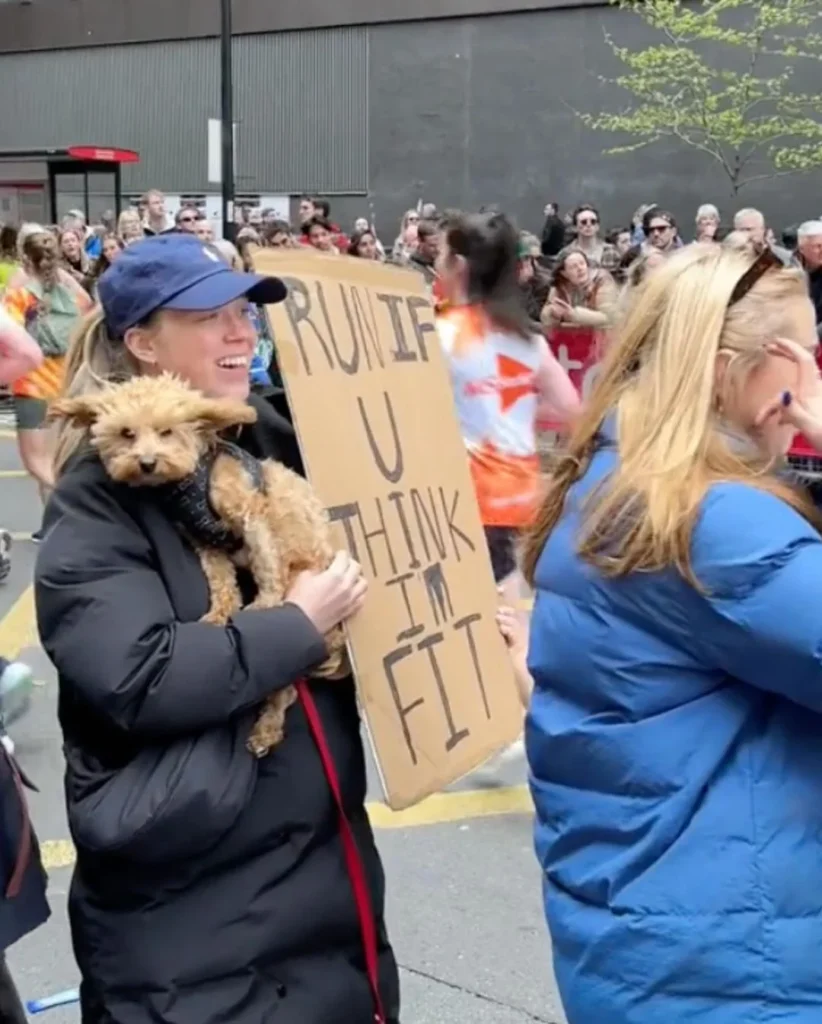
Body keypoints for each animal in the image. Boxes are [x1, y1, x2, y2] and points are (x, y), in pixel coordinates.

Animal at [50, 372, 348, 757]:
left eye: (166, 431)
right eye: (126, 433)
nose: (147, 462)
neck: (188, 483)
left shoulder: (250, 513)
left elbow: (267, 568)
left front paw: (266, 604)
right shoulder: (206, 543)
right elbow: (221, 583)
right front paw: (220, 615)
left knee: (285, 687)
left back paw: (267, 728)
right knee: (286, 686)